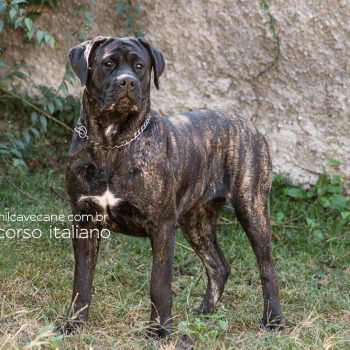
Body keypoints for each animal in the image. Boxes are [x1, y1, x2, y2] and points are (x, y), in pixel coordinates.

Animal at [63, 35, 288, 336]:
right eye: (108, 64)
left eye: (139, 66)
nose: (127, 82)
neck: (112, 142)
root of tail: (249, 124)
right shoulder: (85, 221)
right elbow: (82, 280)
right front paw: (74, 323)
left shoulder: (162, 225)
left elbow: (159, 284)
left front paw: (159, 330)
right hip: (196, 221)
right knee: (218, 265)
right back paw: (205, 312)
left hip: (252, 208)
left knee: (267, 267)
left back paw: (273, 319)